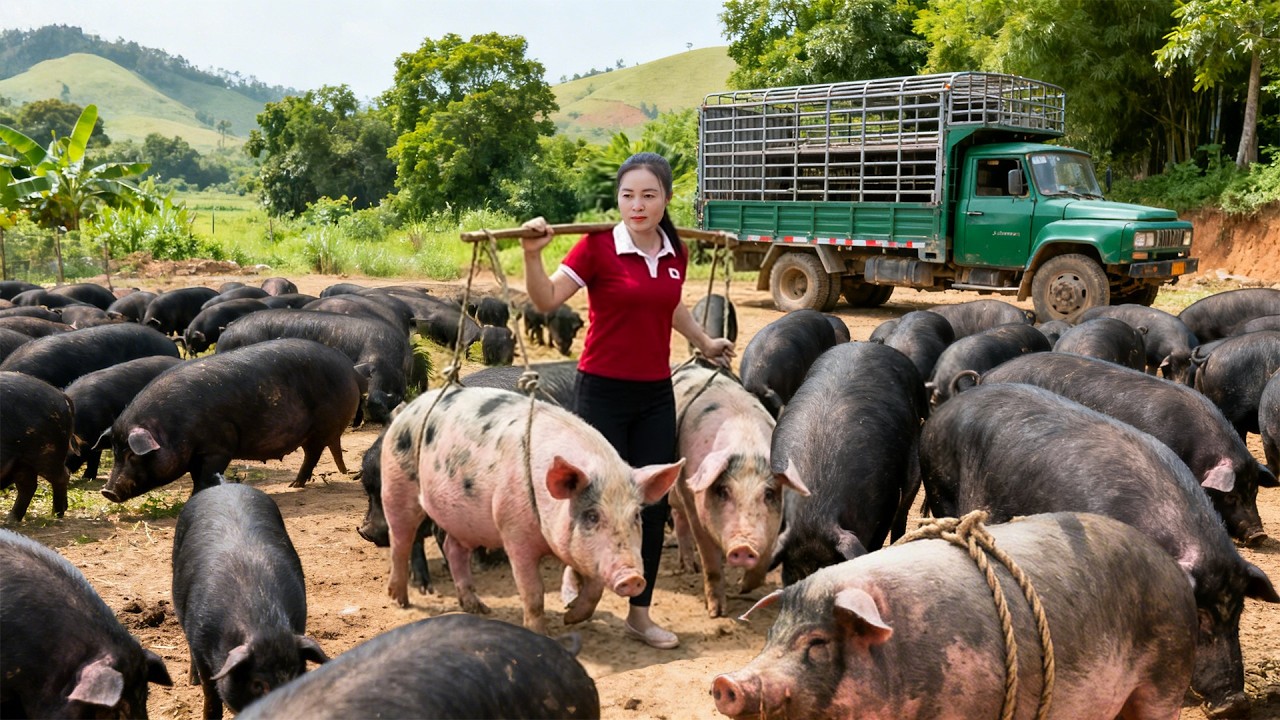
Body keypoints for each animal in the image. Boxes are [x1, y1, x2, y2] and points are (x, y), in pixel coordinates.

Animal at [0, 372, 74, 522]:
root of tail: (60, 394)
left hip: (47, 454)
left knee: (63, 476)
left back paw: (56, 515)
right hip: (22, 462)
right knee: (28, 486)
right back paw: (11, 519)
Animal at [103, 338, 362, 501]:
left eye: (132, 454)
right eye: (115, 452)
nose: (107, 492)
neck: (172, 428)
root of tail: (350, 369)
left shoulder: (217, 447)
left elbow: (205, 475)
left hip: (321, 426)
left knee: (313, 454)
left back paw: (295, 485)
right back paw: (296, 484)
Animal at [173, 483, 329, 719]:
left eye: (296, 676)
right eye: (257, 684)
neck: (263, 621)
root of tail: (224, 485)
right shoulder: (199, 641)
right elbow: (211, 693)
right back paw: (192, 681)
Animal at [380, 385, 683, 633]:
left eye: (636, 516)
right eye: (592, 515)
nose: (632, 577)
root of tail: (408, 408)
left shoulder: (587, 554)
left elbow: (595, 588)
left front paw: (570, 618)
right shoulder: (513, 530)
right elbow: (534, 592)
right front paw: (543, 634)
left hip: (463, 519)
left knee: (453, 548)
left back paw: (478, 608)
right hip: (396, 483)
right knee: (400, 539)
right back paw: (400, 599)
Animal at [669, 364, 810, 617]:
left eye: (768, 494)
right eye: (723, 491)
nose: (744, 546)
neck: (746, 446)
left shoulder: (773, 524)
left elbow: (764, 560)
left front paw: (743, 587)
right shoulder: (696, 508)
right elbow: (710, 560)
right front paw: (716, 612)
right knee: (678, 514)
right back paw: (689, 568)